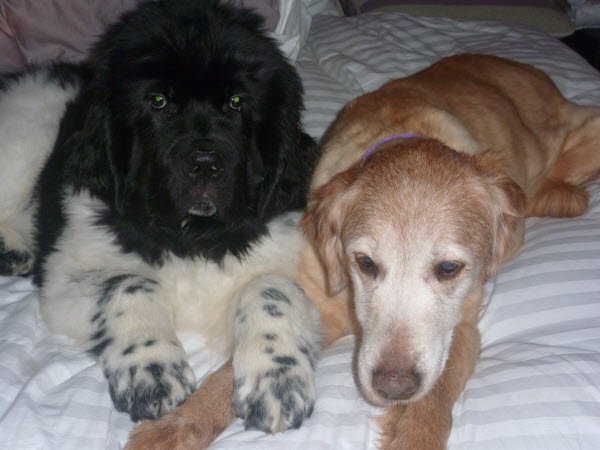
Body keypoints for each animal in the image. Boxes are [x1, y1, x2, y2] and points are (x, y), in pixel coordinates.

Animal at [0, 0, 323, 432]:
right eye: (158, 102)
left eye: (237, 102)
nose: (205, 165)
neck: (190, 233)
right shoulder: (65, 275)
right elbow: (129, 282)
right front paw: (151, 367)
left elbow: (271, 289)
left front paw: (278, 378)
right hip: (24, 135)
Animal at [126, 53, 600, 449]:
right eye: (365, 263)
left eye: (449, 268)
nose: (393, 387)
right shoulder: (320, 298)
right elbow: (230, 371)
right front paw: (177, 426)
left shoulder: (464, 325)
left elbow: (434, 397)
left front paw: (413, 434)